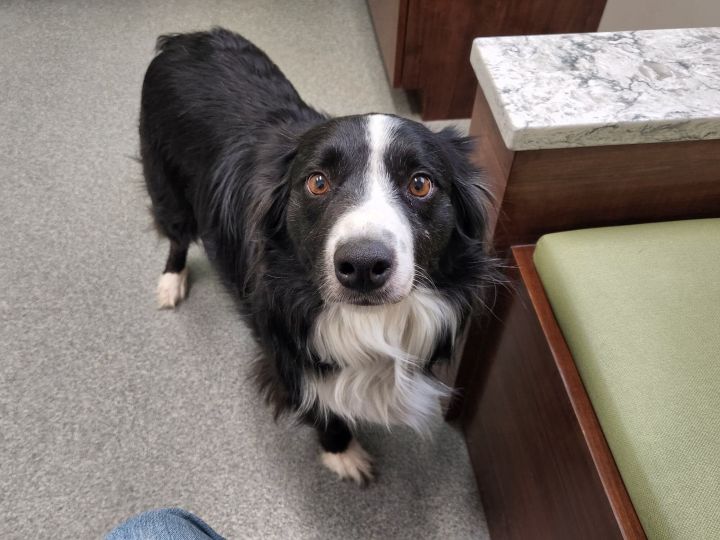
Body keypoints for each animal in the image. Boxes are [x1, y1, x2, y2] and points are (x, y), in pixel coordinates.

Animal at [142, 27, 496, 486]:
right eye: (317, 182)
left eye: (420, 183)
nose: (362, 266)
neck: (366, 321)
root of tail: (183, 38)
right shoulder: (283, 355)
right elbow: (320, 405)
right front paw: (342, 453)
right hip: (165, 185)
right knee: (176, 236)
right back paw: (171, 280)